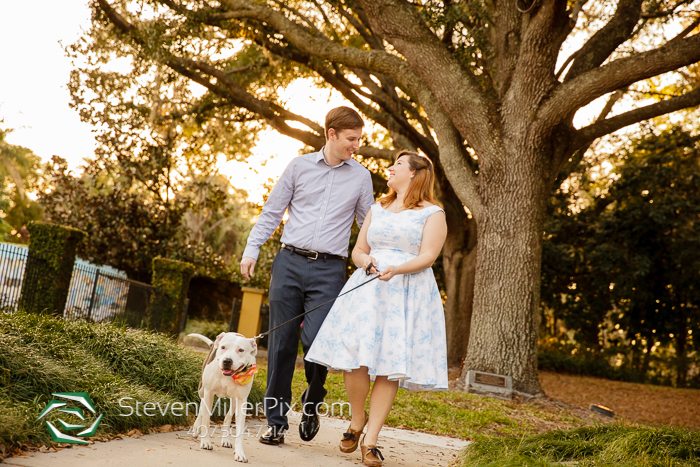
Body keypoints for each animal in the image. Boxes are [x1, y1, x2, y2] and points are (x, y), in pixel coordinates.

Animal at [189, 332, 258, 464]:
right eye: (223, 347)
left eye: (241, 350)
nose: (227, 361)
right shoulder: (209, 392)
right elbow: (206, 419)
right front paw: (205, 442)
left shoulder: (241, 401)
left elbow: (239, 429)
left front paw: (240, 453)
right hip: (202, 389)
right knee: (201, 407)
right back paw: (195, 428)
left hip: (234, 401)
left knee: (227, 417)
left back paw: (226, 439)